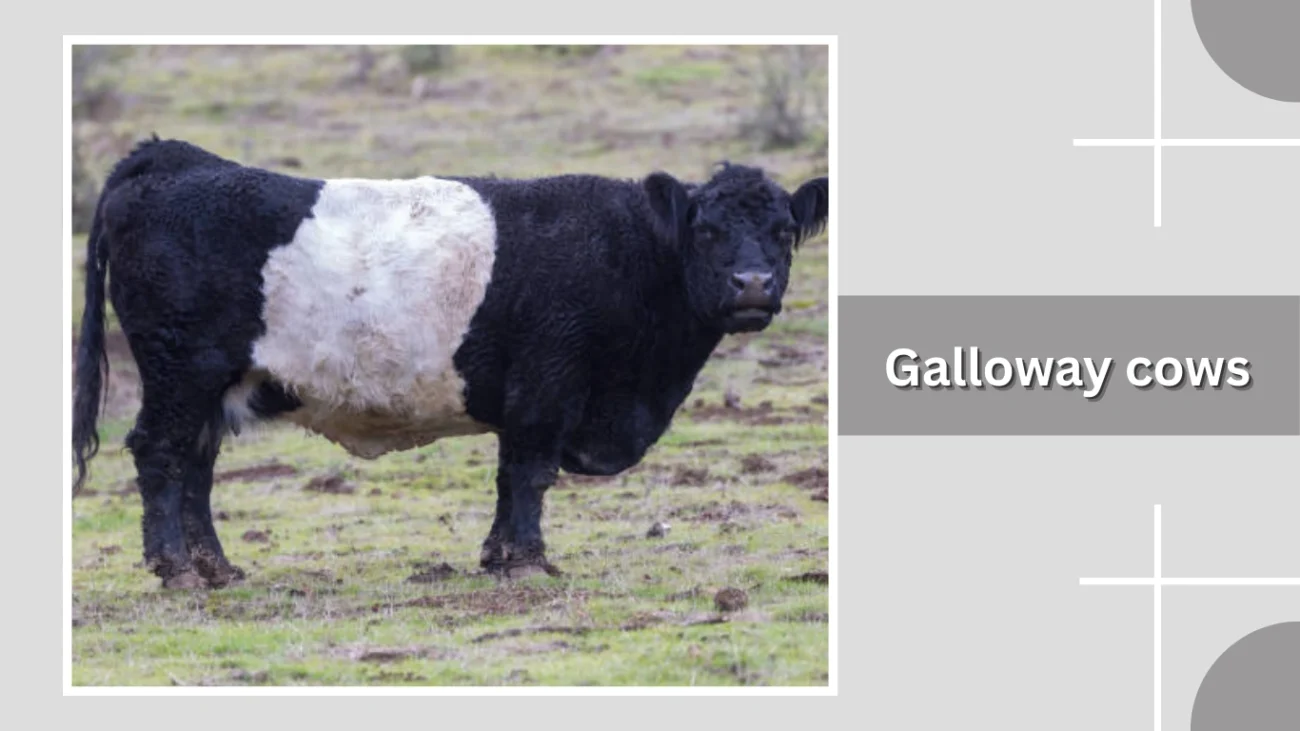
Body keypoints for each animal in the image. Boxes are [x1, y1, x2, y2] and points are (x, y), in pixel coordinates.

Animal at [71, 136, 829, 590]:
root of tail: (169, 156)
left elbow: (509, 479)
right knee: (159, 453)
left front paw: (497, 557)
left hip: (213, 382)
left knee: (195, 462)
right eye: (708, 232)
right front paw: (528, 563)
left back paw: (217, 568)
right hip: (181, 369)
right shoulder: (547, 385)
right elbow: (527, 474)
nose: (753, 285)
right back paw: (176, 569)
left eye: (783, 231)